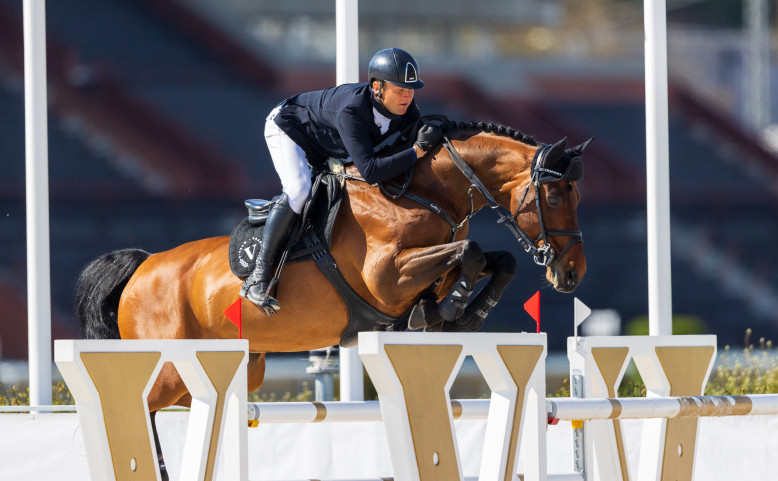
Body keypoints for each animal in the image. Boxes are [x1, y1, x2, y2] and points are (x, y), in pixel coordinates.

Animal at [74, 121, 588, 476]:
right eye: (555, 196)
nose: (571, 274)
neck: (422, 194)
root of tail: (144, 265)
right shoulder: (389, 276)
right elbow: (472, 252)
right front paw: (450, 309)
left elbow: (496, 260)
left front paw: (459, 313)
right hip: (170, 365)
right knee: (137, 405)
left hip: (223, 368)